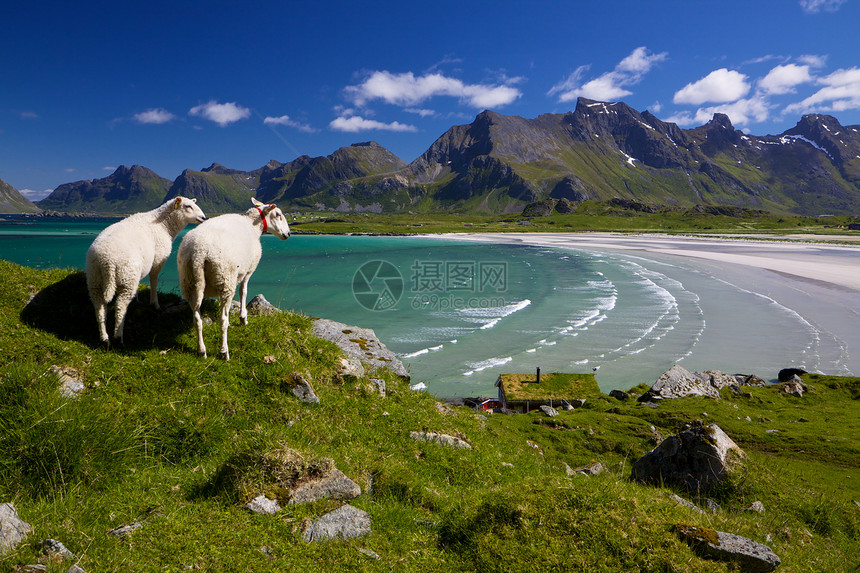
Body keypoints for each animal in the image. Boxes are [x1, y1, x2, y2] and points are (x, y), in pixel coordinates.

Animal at [84, 194, 208, 344]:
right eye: (188, 206)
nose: (204, 218)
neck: (164, 226)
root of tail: (107, 261)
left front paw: (137, 298)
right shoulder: (158, 259)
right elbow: (154, 281)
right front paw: (154, 304)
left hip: (96, 278)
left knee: (99, 308)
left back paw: (104, 338)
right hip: (125, 278)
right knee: (120, 307)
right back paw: (118, 337)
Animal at [178, 197, 292, 358]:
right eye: (278, 215)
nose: (288, 234)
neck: (252, 225)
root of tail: (199, 254)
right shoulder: (248, 269)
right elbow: (243, 291)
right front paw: (243, 318)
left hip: (189, 282)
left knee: (196, 319)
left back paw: (202, 350)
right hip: (225, 279)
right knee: (223, 320)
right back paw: (224, 351)